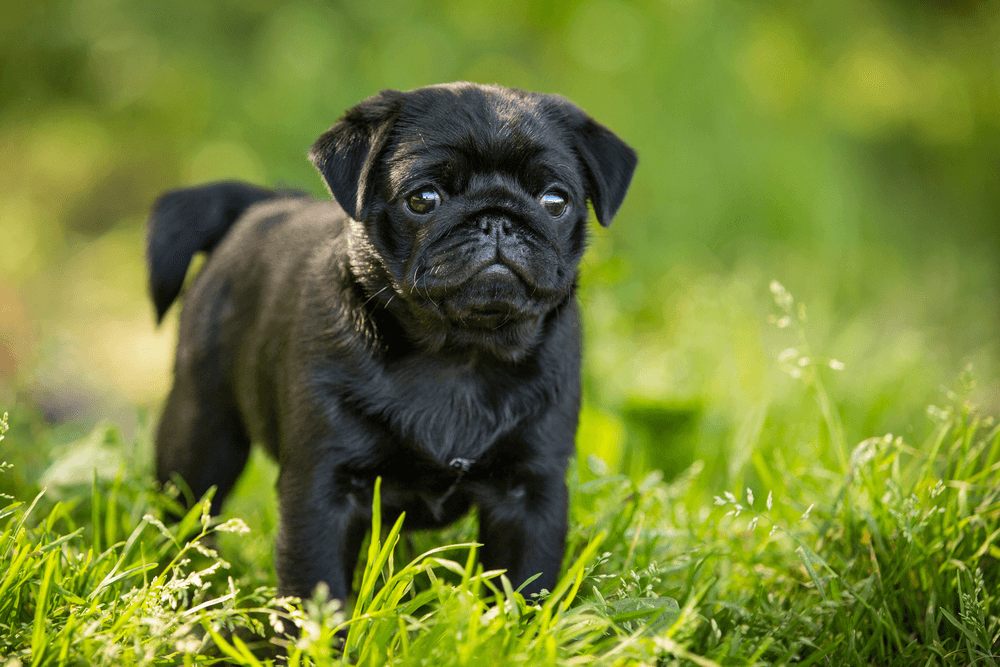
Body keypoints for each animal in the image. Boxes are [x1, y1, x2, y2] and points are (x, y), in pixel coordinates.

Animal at [148, 81, 632, 604]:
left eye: (554, 201)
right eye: (424, 198)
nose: (496, 218)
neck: (460, 355)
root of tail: (265, 206)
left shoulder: (532, 490)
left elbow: (525, 585)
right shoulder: (324, 486)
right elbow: (316, 583)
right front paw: (311, 629)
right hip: (201, 429)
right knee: (190, 508)